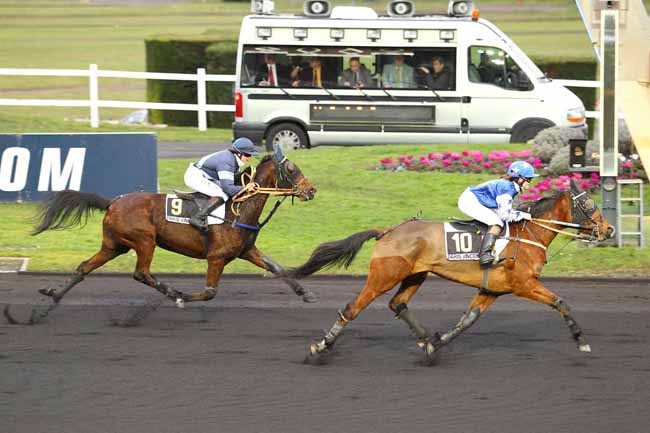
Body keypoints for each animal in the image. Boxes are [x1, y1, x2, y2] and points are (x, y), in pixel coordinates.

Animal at [3, 148, 318, 324]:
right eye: (291, 168)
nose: (311, 190)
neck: (238, 209)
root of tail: (112, 202)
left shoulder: (245, 251)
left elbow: (277, 268)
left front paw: (307, 293)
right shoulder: (216, 257)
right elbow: (209, 292)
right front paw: (182, 297)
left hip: (114, 245)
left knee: (83, 268)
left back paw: (49, 300)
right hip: (144, 241)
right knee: (141, 273)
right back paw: (172, 292)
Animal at [284, 180, 612, 364]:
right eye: (587, 203)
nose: (608, 230)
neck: (529, 234)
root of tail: (388, 230)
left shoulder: (492, 289)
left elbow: (467, 320)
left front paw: (436, 344)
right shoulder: (524, 284)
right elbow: (561, 303)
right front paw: (581, 340)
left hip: (415, 275)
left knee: (397, 304)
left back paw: (423, 337)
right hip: (383, 276)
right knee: (352, 308)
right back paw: (319, 347)